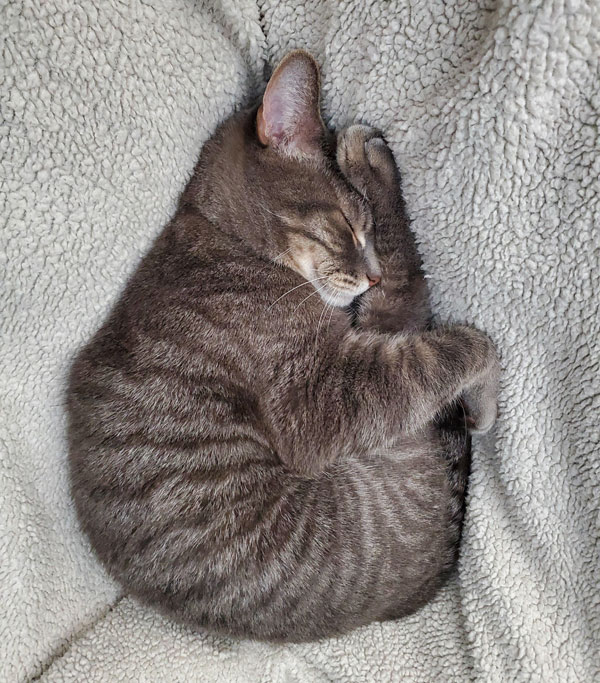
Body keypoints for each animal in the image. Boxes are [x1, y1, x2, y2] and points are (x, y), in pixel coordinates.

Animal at [65, 50, 500, 644]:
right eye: (348, 225)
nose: (366, 272)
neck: (224, 235)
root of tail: (432, 574)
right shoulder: (318, 399)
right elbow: (436, 346)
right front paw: (482, 363)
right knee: (405, 304)